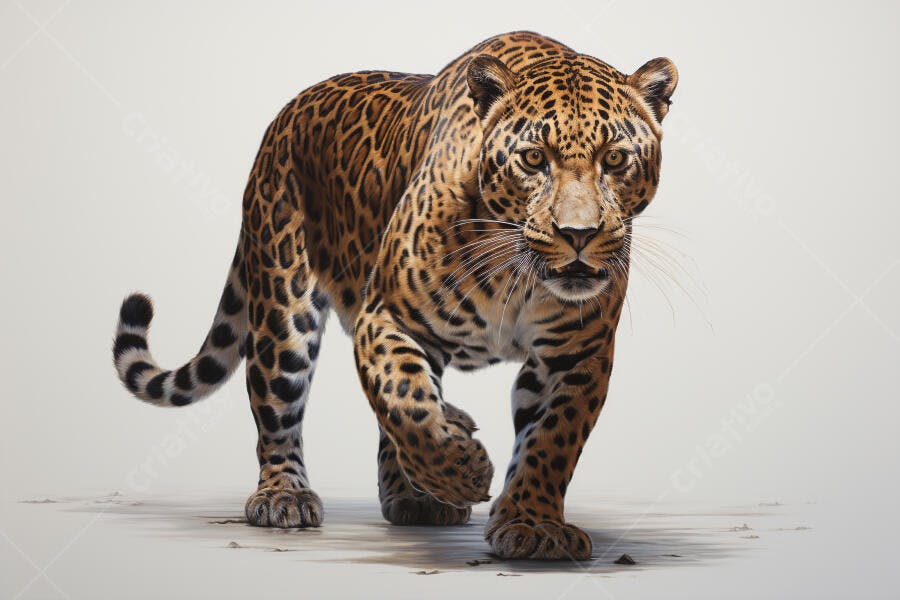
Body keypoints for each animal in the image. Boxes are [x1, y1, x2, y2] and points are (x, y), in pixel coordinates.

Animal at [112, 31, 678, 560]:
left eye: (616, 159)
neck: (517, 274)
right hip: (281, 304)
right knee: (278, 406)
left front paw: (532, 523)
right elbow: (406, 405)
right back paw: (284, 495)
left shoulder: (577, 355)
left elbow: (552, 441)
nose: (578, 234)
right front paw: (464, 471)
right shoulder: (386, 317)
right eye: (534, 159)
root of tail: (286, 113)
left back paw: (417, 492)